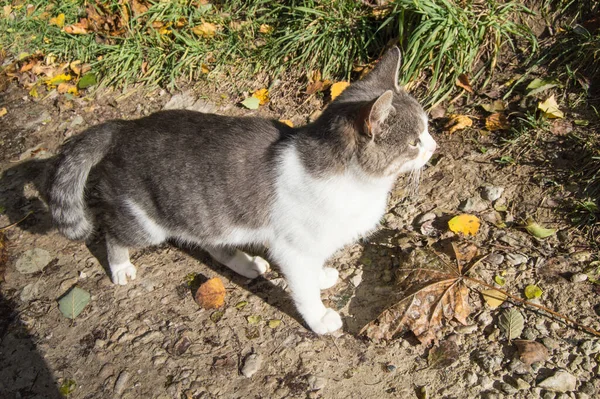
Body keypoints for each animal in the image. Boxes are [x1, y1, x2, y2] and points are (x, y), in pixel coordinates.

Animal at [48, 47, 436, 334]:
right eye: (414, 142)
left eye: (428, 128)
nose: (434, 146)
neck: (358, 184)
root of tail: (124, 127)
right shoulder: (293, 249)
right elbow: (304, 289)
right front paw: (320, 318)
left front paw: (321, 274)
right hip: (146, 221)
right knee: (113, 231)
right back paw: (121, 266)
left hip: (205, 210)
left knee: (210, 240)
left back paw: (246, 263)